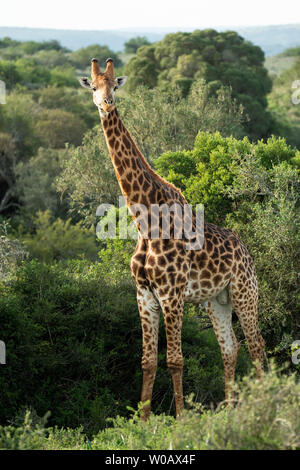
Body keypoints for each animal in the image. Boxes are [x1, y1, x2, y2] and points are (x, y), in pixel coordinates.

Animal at [78, 57, 264, 420]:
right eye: (92, 86)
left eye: (115, 85)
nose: (106, 104)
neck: (144, 222)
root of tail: (246, 251)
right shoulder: (144, 294)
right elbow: (148, 361)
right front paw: (143, 419)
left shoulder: (171, 294)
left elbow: (175, 360)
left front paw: (180, 418)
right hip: (216, 301)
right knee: (231, 348)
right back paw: (230, 410)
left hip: (245, 292)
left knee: (257, 346)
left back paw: (268, 402)